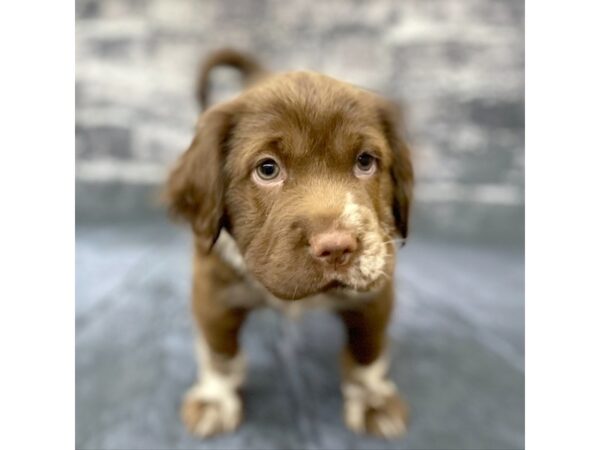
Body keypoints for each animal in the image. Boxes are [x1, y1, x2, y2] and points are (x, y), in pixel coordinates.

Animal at [166, 49, 414, 440]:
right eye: (267, 169)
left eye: (365, 162)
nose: (337, 248)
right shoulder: (213, 291)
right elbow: (220, 353)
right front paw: (215, 400)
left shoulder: (376, 295)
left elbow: (367, 352)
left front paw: (373, 401)